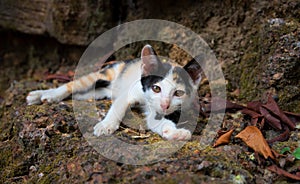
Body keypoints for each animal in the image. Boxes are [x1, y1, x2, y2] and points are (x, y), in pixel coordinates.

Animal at [27, 45, 202, 140]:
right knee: (72, 85)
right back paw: (44, 94)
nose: (165, 105)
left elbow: (157, 121)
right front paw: (106, 125)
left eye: (178, 93)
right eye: (156, 88)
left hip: (101, 91)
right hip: (104, 73)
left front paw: (175, 133)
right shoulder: (131, 93)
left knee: (90, 92)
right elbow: (117, 107)